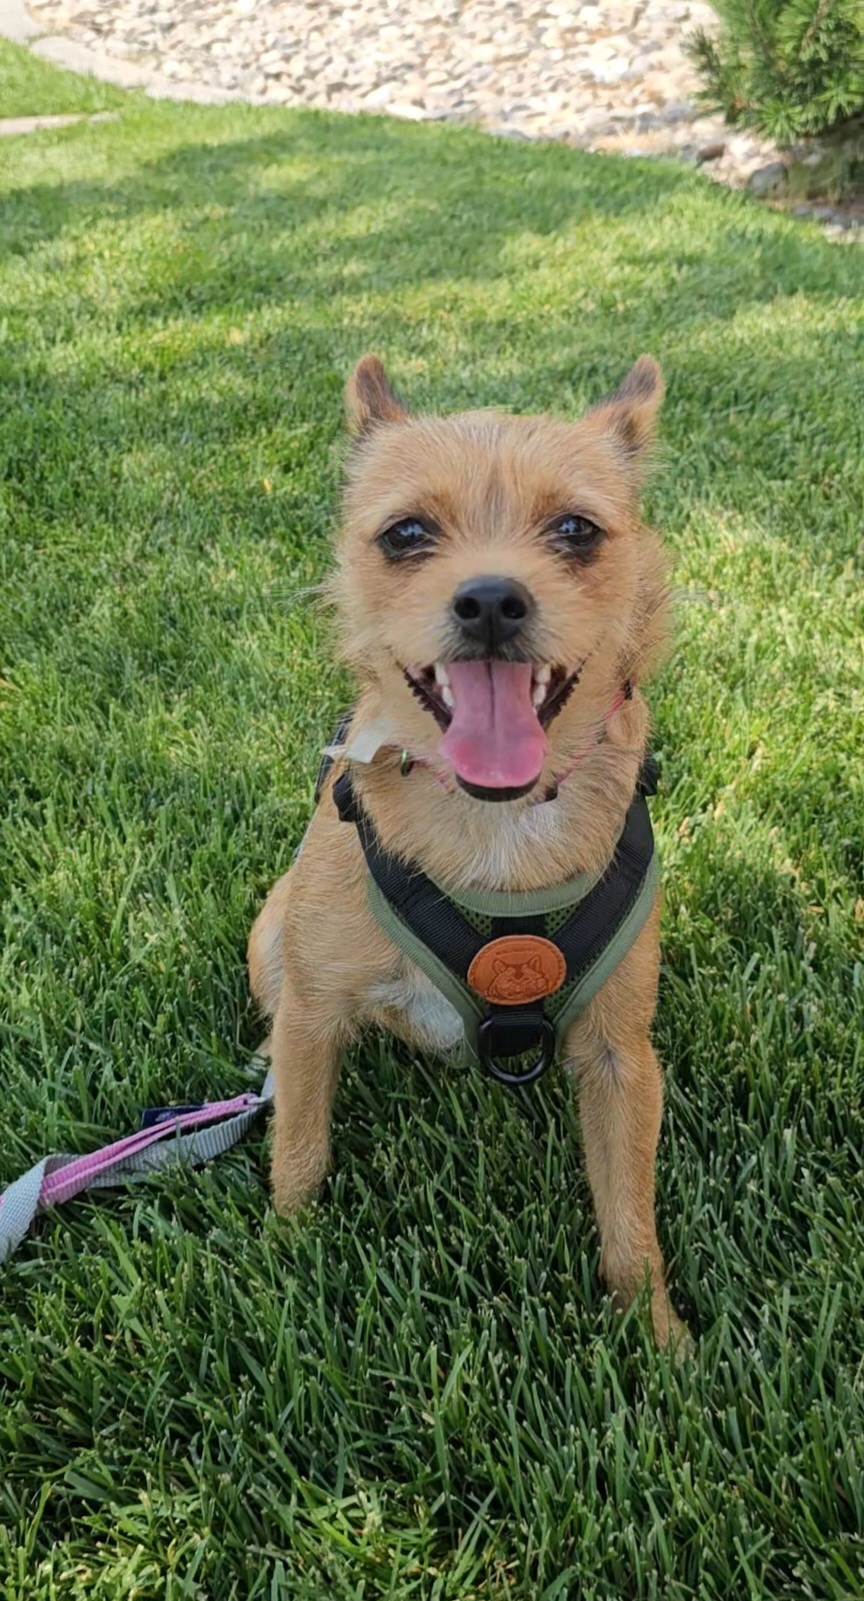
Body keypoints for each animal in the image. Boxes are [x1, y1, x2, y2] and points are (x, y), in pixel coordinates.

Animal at [246, 357, 684, 1344]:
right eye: (406, 533)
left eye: (576, 530)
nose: (490, 598)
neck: (495, 821)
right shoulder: (314, 1015)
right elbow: (299, 1149)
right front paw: (286, 1258)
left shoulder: (622, 1059)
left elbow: (630, 1218)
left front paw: (659, 1339)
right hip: (270, 936)